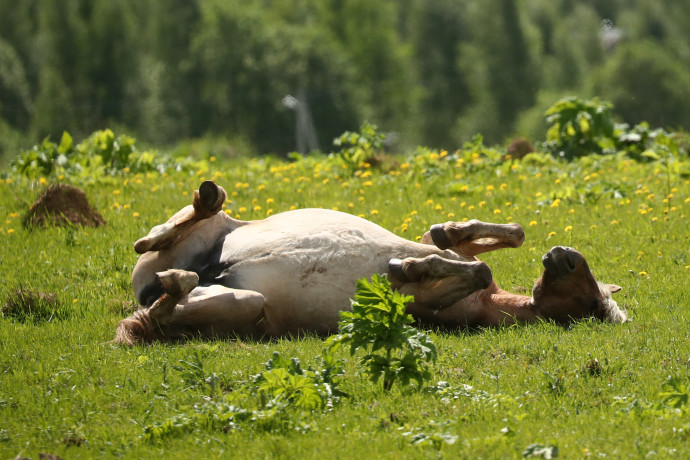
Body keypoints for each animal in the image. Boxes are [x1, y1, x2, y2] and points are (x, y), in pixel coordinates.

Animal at [111, 181, 624, 344]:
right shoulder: (450, 248)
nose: (564, 257)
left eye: (594, 303)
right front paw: (440, 240)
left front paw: (409, 269)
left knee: (159, 314)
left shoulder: (430, 309)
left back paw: (177, 283)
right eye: (591, 285)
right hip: (210, 237)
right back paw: (203, 203)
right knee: (171, 233)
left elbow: (475, 269)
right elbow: (495, 239)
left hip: (244, 304)